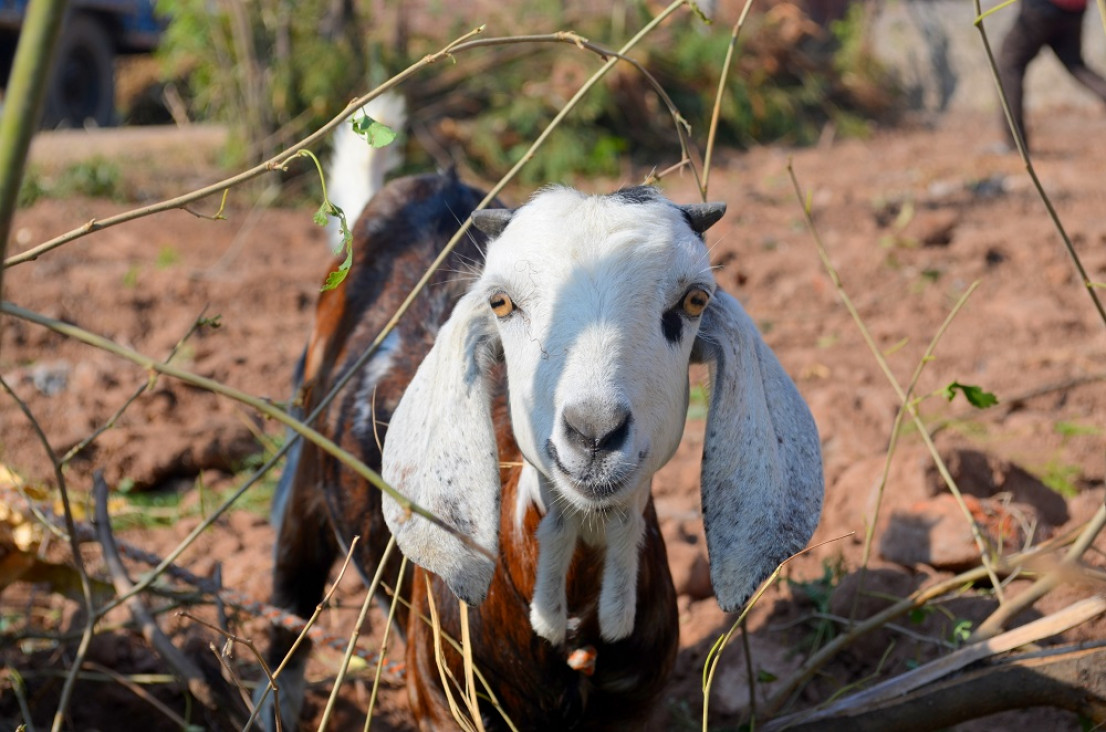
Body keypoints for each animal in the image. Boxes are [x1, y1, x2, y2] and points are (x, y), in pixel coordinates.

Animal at [258, 155, 827, 732]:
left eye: (694, 300)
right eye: (501, 302)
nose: (594, 434)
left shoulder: (638, 709)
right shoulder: (440, 704)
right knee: (292, 592)